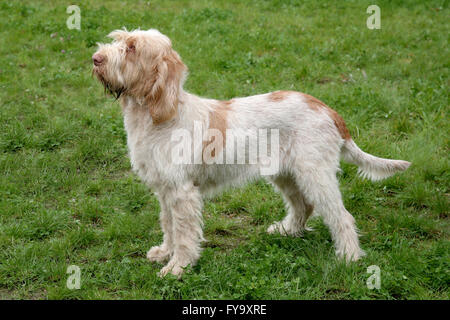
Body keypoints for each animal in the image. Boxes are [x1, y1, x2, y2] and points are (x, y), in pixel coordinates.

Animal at [92, 28, 412, 276]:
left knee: (341, 217)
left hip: (315, 175)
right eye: (119, 40)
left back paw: (349, 257)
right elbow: (168, 225)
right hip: (285, 174)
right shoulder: (165, 190)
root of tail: (327, 109)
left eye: (132, 48)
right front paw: (164, 252)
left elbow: (184, 234)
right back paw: (287, 230)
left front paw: (178, 267)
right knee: (303, 206)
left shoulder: (182, 192)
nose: (96, 59)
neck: (158, 117)